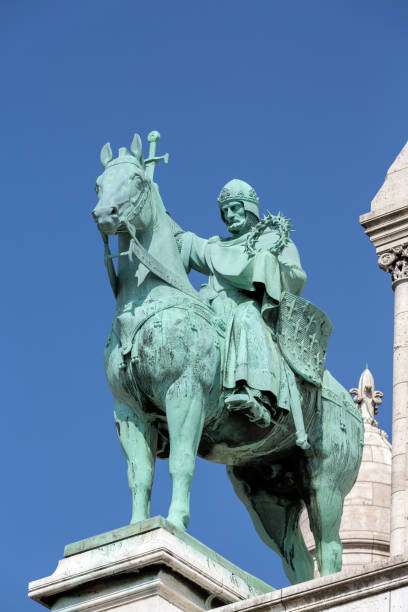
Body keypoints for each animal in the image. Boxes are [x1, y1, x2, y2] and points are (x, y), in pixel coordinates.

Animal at [92, 134, 364, 584]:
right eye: (99, 183)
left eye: (137, 179)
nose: (105, 214)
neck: (151, 303)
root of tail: (352, 406)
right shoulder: (128, 411)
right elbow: (140, 475)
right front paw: (135, 530)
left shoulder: (185, 395)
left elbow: (181, 463)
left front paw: (175, 524)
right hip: (265, 494)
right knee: (297, 557)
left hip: (325, 483)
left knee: (330, 548)